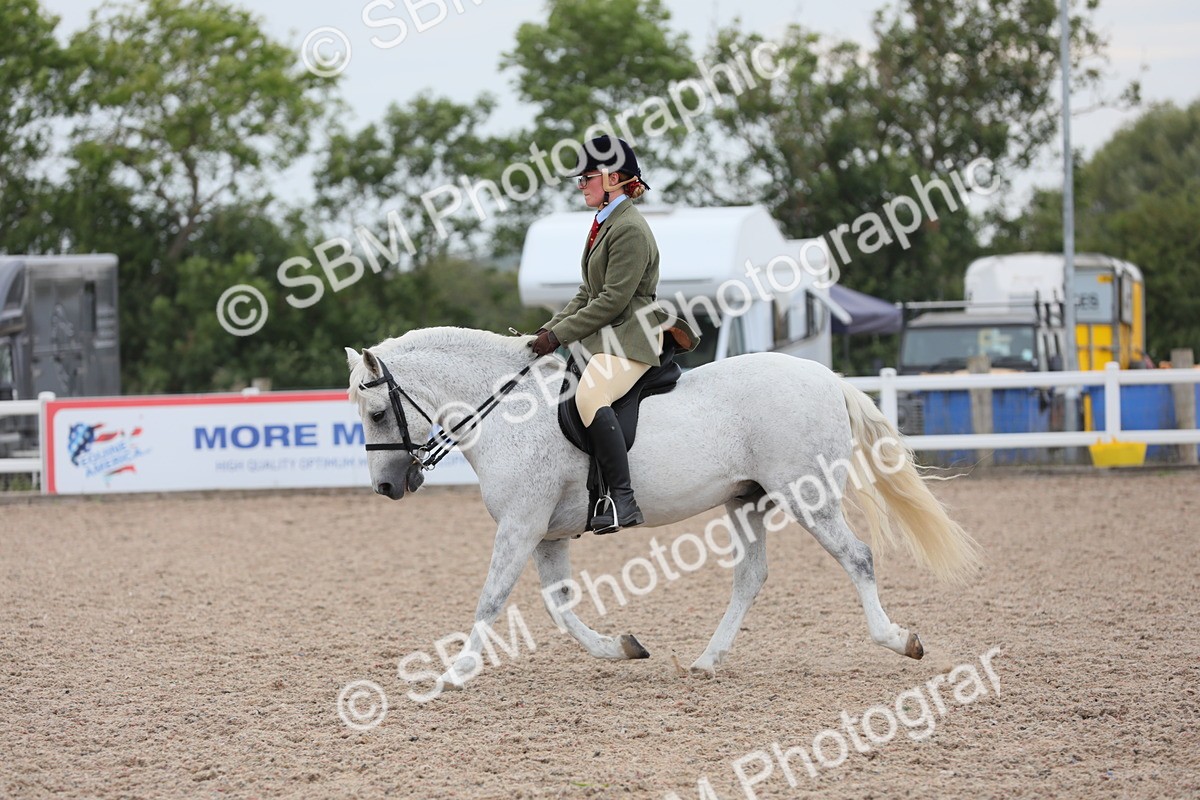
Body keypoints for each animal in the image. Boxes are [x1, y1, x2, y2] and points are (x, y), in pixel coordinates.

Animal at [345, 327, 979, 691]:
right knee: (751, 576)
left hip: (809, 494)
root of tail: (827, 378)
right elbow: (559, 606)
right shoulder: (545, 532)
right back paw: (706, 661)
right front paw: (620, 648)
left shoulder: (522, 524)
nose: (388, 487)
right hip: (745, 500)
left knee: (858, 556)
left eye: (375, 413)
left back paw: (898, 639)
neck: (510, 408)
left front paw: (454, 673)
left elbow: (492, 599)